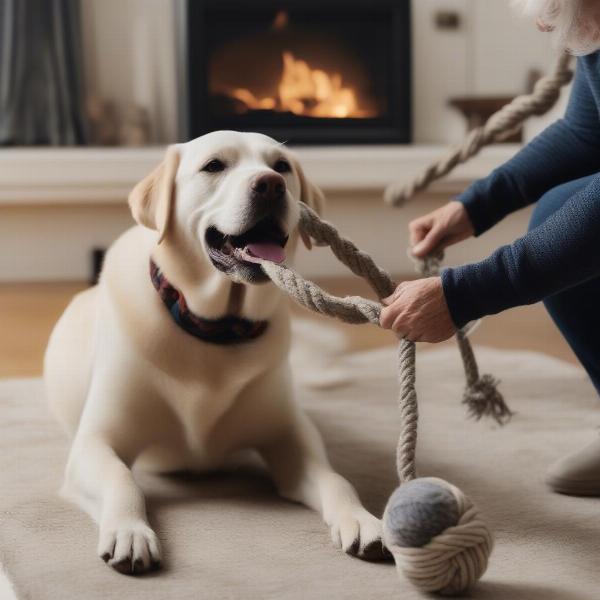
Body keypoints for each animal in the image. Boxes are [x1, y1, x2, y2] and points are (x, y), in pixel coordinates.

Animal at [43, 132, 390, 576]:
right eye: (213, 166)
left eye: (281, 166)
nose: (270, 185)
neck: (216, 330)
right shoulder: (96, 442)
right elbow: (123, 482)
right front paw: (129, 531)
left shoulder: (290, 437)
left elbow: (336, 479)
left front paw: (362, 520)